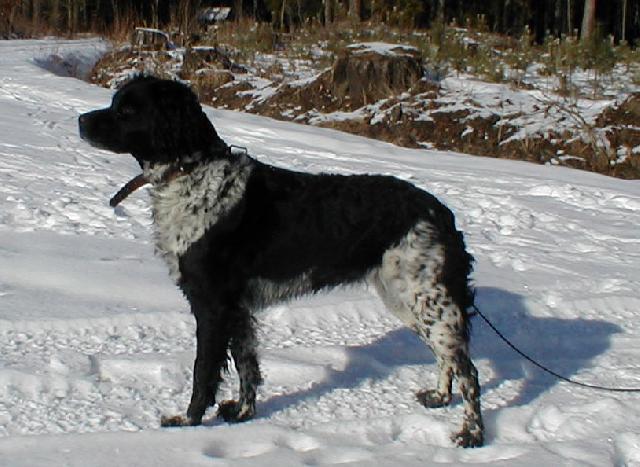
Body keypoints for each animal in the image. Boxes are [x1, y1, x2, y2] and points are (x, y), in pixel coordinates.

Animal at [77, 77, 482, 450]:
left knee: (469, 371)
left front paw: (188, 421)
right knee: (448, 360)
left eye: (128, 110)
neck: (194, 174)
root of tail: (440, 212)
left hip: (426, 298)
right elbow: (246, 365)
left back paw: (472, 434)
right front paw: (242, 413)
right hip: (406, 298)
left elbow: (203, 371)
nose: (81, 120)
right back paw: (440, 397)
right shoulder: (236, 309)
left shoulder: (212, 305)